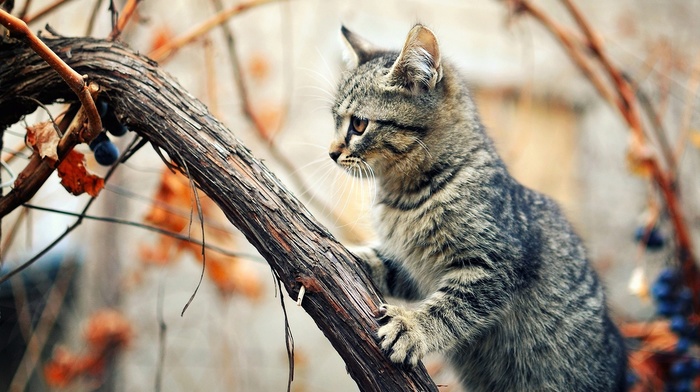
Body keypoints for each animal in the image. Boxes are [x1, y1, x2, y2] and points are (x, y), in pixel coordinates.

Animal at [328, 24, 628, 392]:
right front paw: (355, 256)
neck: (404, 197)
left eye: (358, 125)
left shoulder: (495, 264)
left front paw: (413, 328)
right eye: (335, 121)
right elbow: (387, 264)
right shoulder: (414, 267)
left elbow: (452, 306)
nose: (331, 152)